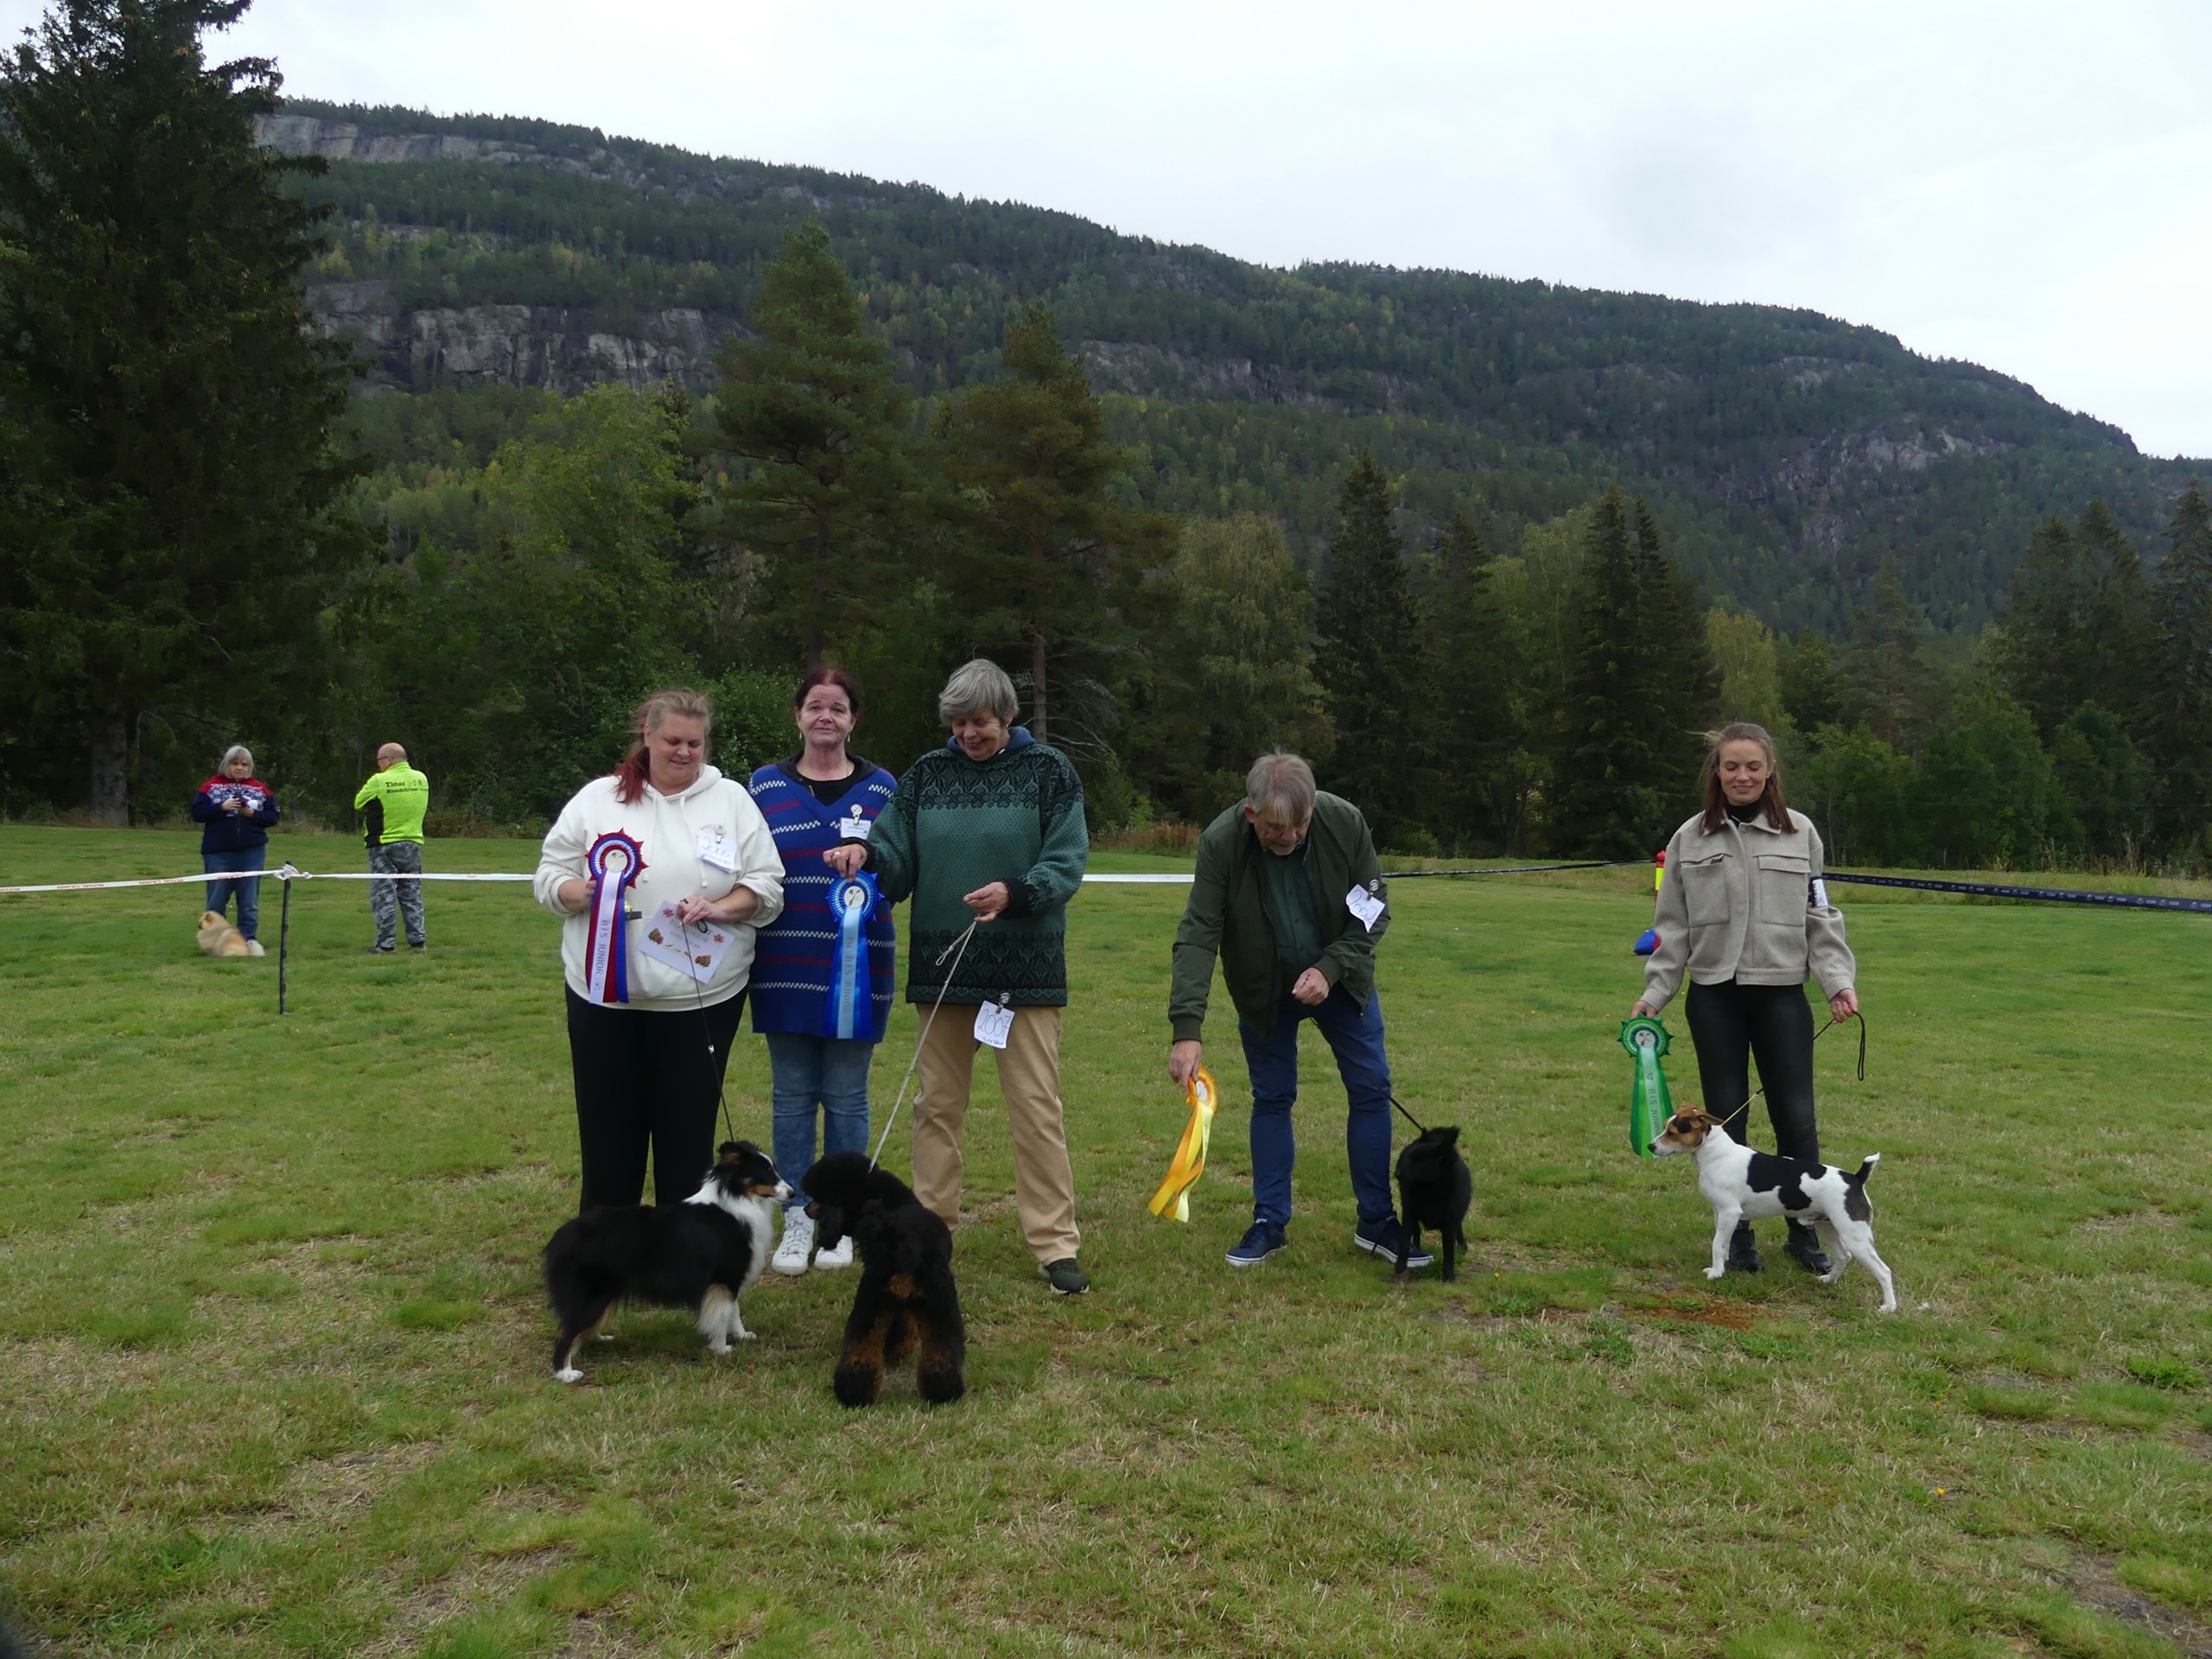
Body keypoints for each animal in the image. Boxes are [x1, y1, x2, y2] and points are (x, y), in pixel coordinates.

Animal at [541, 1140, 789, 1382]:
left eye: (774, 1169)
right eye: (766, 1173)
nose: (793, 1193)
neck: (737, 1199)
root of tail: (560, 1238)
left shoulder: (730, 1279)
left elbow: (733, 1312)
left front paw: (743, 1336)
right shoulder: (723, 1278)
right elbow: (721, 1315)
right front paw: (722, 1349)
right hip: (592, 1294)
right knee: (565, 1333)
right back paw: (566, 1372)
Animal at [802, 1152, 966, 1407]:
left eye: (822, 1197)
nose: (806, 1208)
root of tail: (897, 1240)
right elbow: (904, 1329)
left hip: (872, 1302)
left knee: (860, 1353)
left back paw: (855, 1394)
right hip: (940, 1302)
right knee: (944, 1350)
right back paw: (945, 1393)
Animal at [1394, 1124, 1472, 1280]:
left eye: (1418, 1162)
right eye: (1408, 1158)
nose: (1397, 1173)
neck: (1430, 1190)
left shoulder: (1450, 1224)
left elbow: (1449, 1253)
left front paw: (1449, 1276)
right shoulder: (1409, 1213)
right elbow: (1405, 1240)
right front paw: (1400, 1264)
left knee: (1459, 1227)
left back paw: (1462, 1245)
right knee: (1416, 1231)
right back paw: (1417, 1248)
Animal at [1650, 1109, 1897, 1312]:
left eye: (1672, 1132)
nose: (1650, 1146)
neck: (1715, 1153)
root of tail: (1856, 1178)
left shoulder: (1730, 1212)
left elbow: (1716, 1244)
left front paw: (1716, 1273)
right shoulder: (1720, 1213)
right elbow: (1723, 1244)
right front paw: (1722, 1266)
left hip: (1854, 1235)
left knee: (1883, 1271)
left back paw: (1889, 1307)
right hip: (1828, 1225)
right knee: (1843, 1256)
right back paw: (1828, 1280)